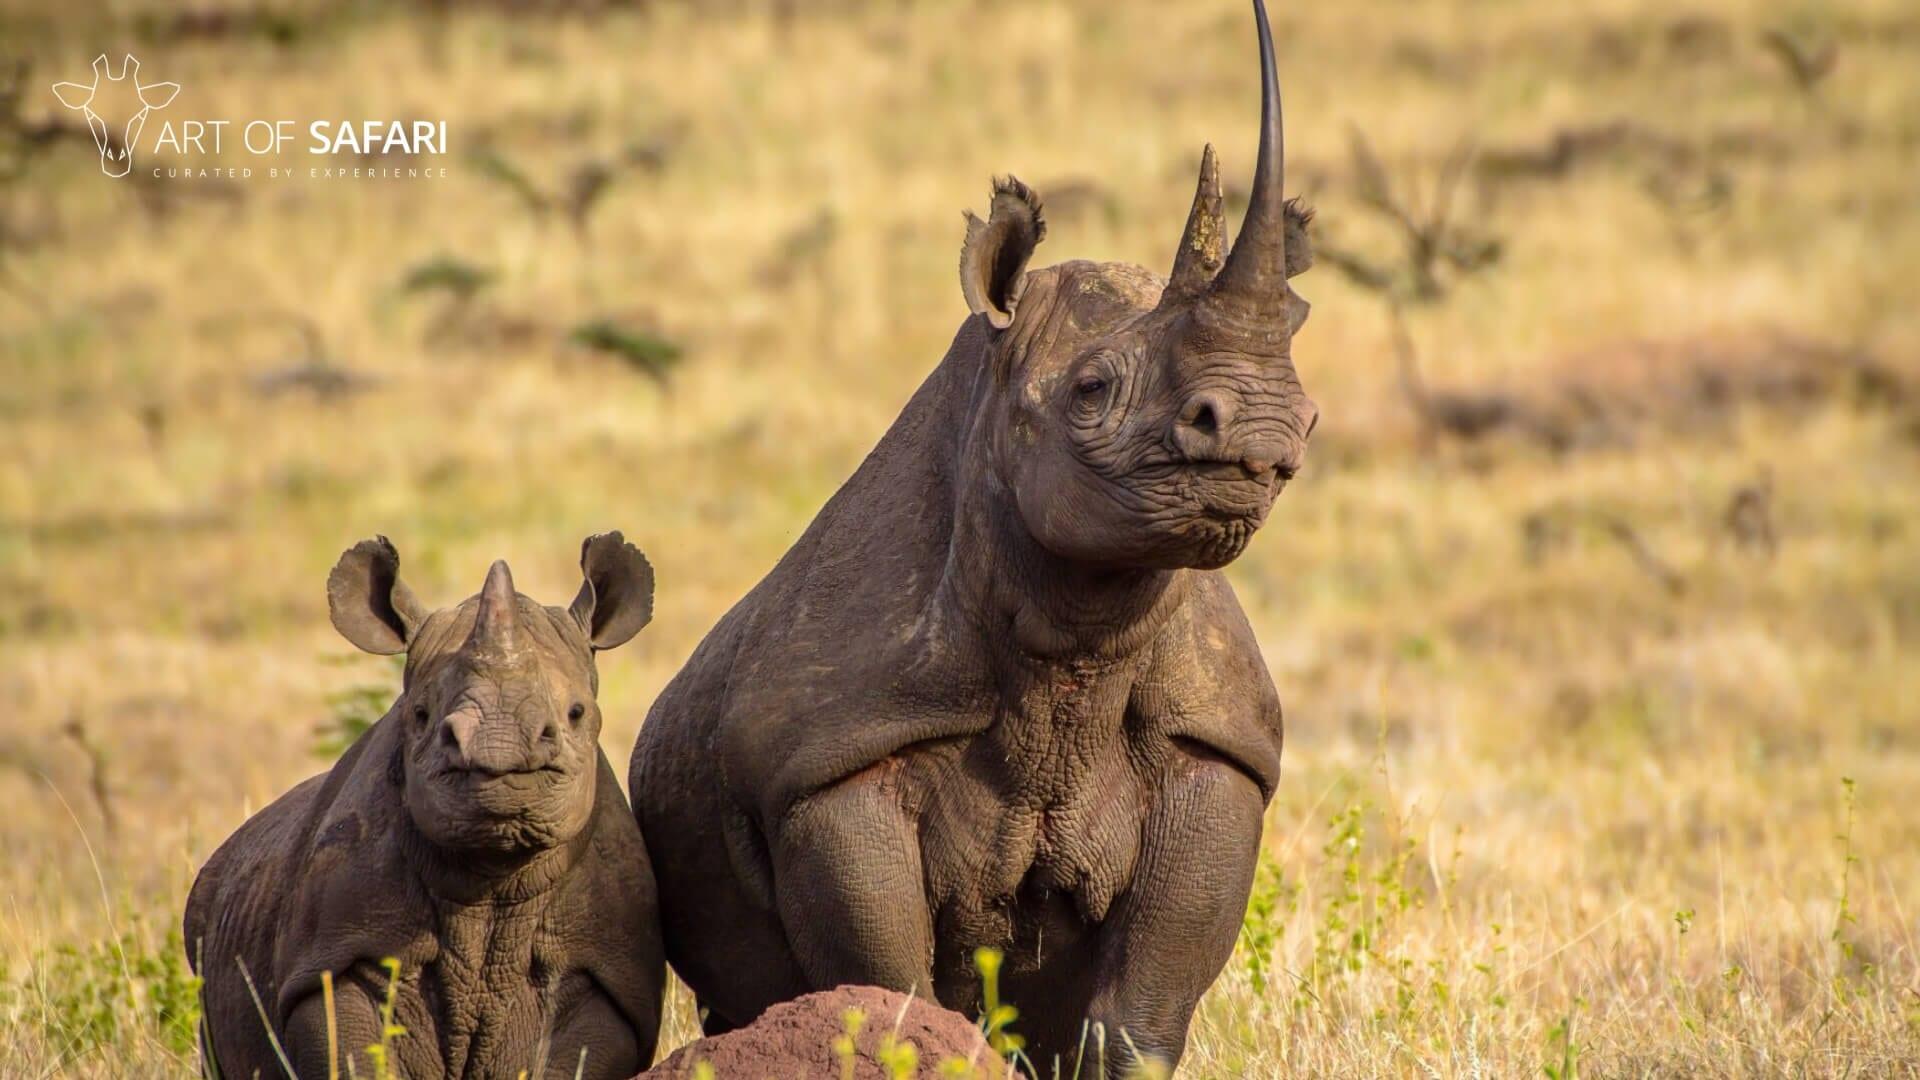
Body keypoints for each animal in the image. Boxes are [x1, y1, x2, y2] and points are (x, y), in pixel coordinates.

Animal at [186, 534, 663, 1080]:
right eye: (420, 715)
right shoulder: (334, 961)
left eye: (576, 713)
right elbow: (351, 1054)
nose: (498, 749)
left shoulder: (602, 982)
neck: (492, 875)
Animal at [630, 0, 1314, 1072]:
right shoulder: (829, 762)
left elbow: (1139, 1013)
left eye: (1312, 412)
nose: (1267, 433)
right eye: (1091, 391)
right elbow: (889, 987)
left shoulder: (1219, 747)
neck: (1077, 643)